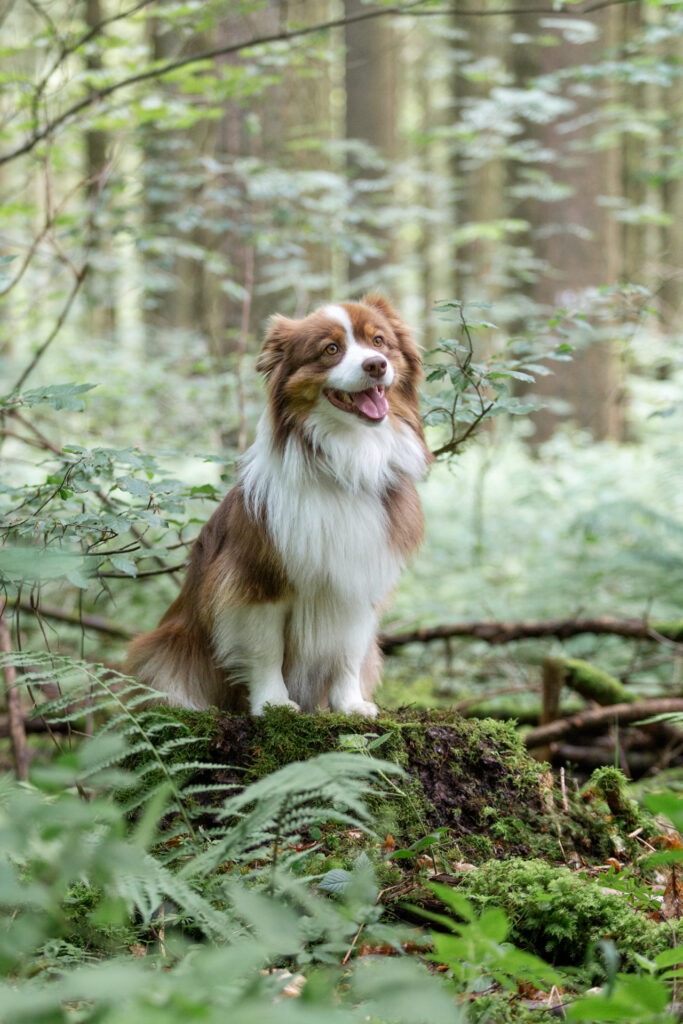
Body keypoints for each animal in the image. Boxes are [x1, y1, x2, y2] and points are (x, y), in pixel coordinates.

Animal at [125, 292, 430, 716]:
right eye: (331, 349)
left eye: (379, 341)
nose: (376, 365)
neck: (347, 459)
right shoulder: (255, 578)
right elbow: (265, 649)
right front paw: (273, 703)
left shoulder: (359, 579)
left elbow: (348, 651)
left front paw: (350, 704)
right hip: (165, 643)